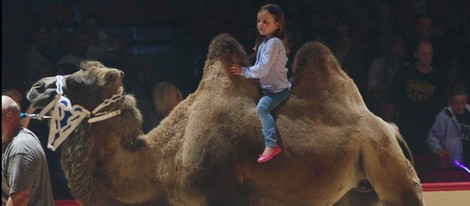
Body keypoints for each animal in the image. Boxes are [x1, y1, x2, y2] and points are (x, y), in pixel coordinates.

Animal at [25, 33, 424, 205]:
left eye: (78, 82)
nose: (35, 88)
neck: (163, 161)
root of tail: (391, 129)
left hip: (390, 170)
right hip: (356, 192)